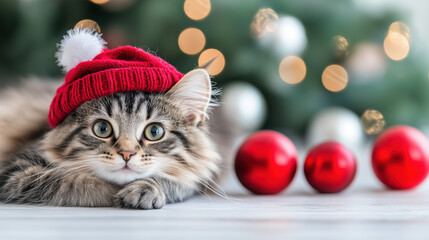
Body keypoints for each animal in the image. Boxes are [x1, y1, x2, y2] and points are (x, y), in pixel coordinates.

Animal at [0, 68, 221, 209]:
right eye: (102, 128)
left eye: (154, 132)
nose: (126, 154)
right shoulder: (15, 173)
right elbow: (79, 182)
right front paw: (118, 194)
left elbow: (178, 180)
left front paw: (147, 189)